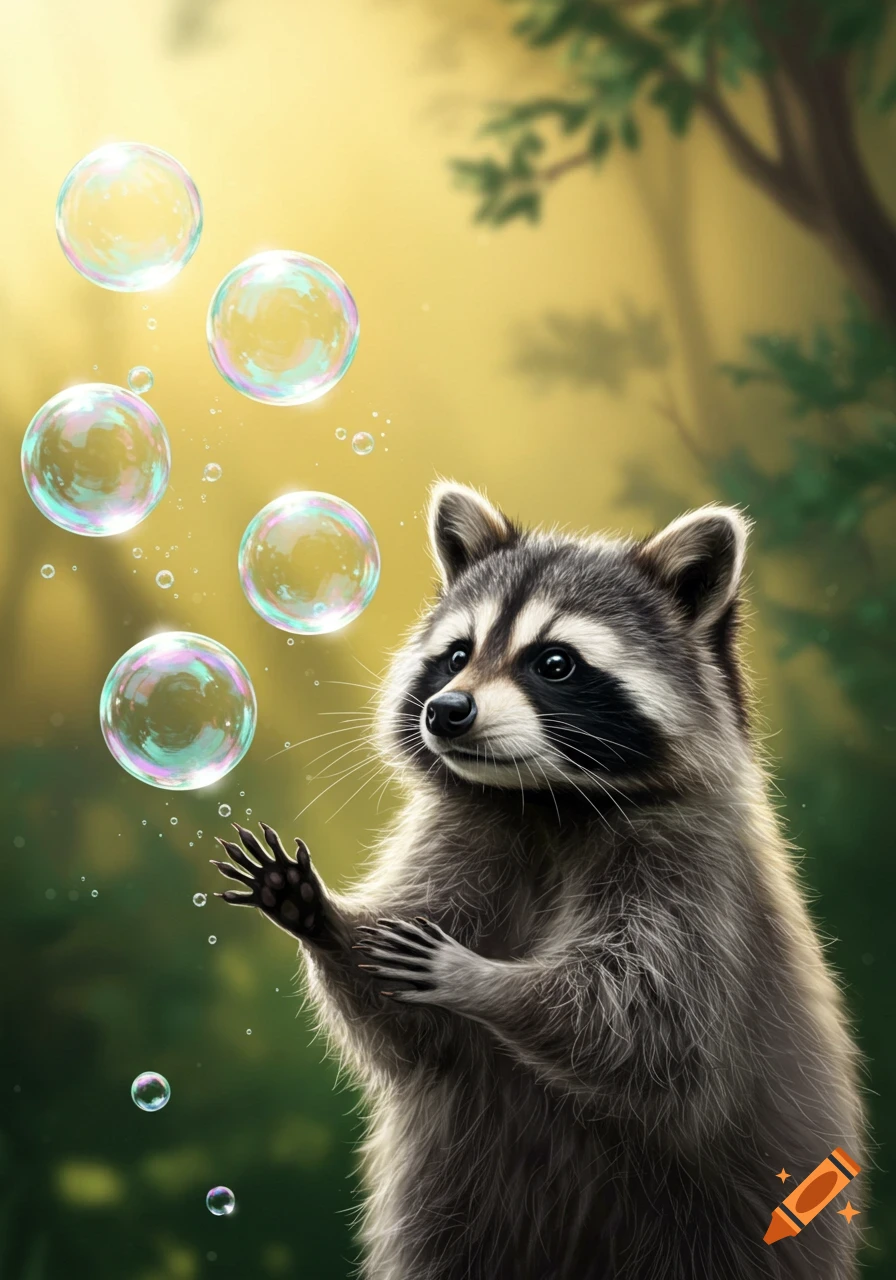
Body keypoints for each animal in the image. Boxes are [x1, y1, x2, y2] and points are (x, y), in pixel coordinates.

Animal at [214, 483, 866, 1280]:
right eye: (457, 655)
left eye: (555, 663)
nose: (446, 711)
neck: (545, 802)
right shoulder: (463, 841)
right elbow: (412, 1031)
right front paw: (327, 919)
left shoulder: (694, 880)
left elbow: (652, 1028)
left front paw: (485, 980)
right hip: (457, 1211)